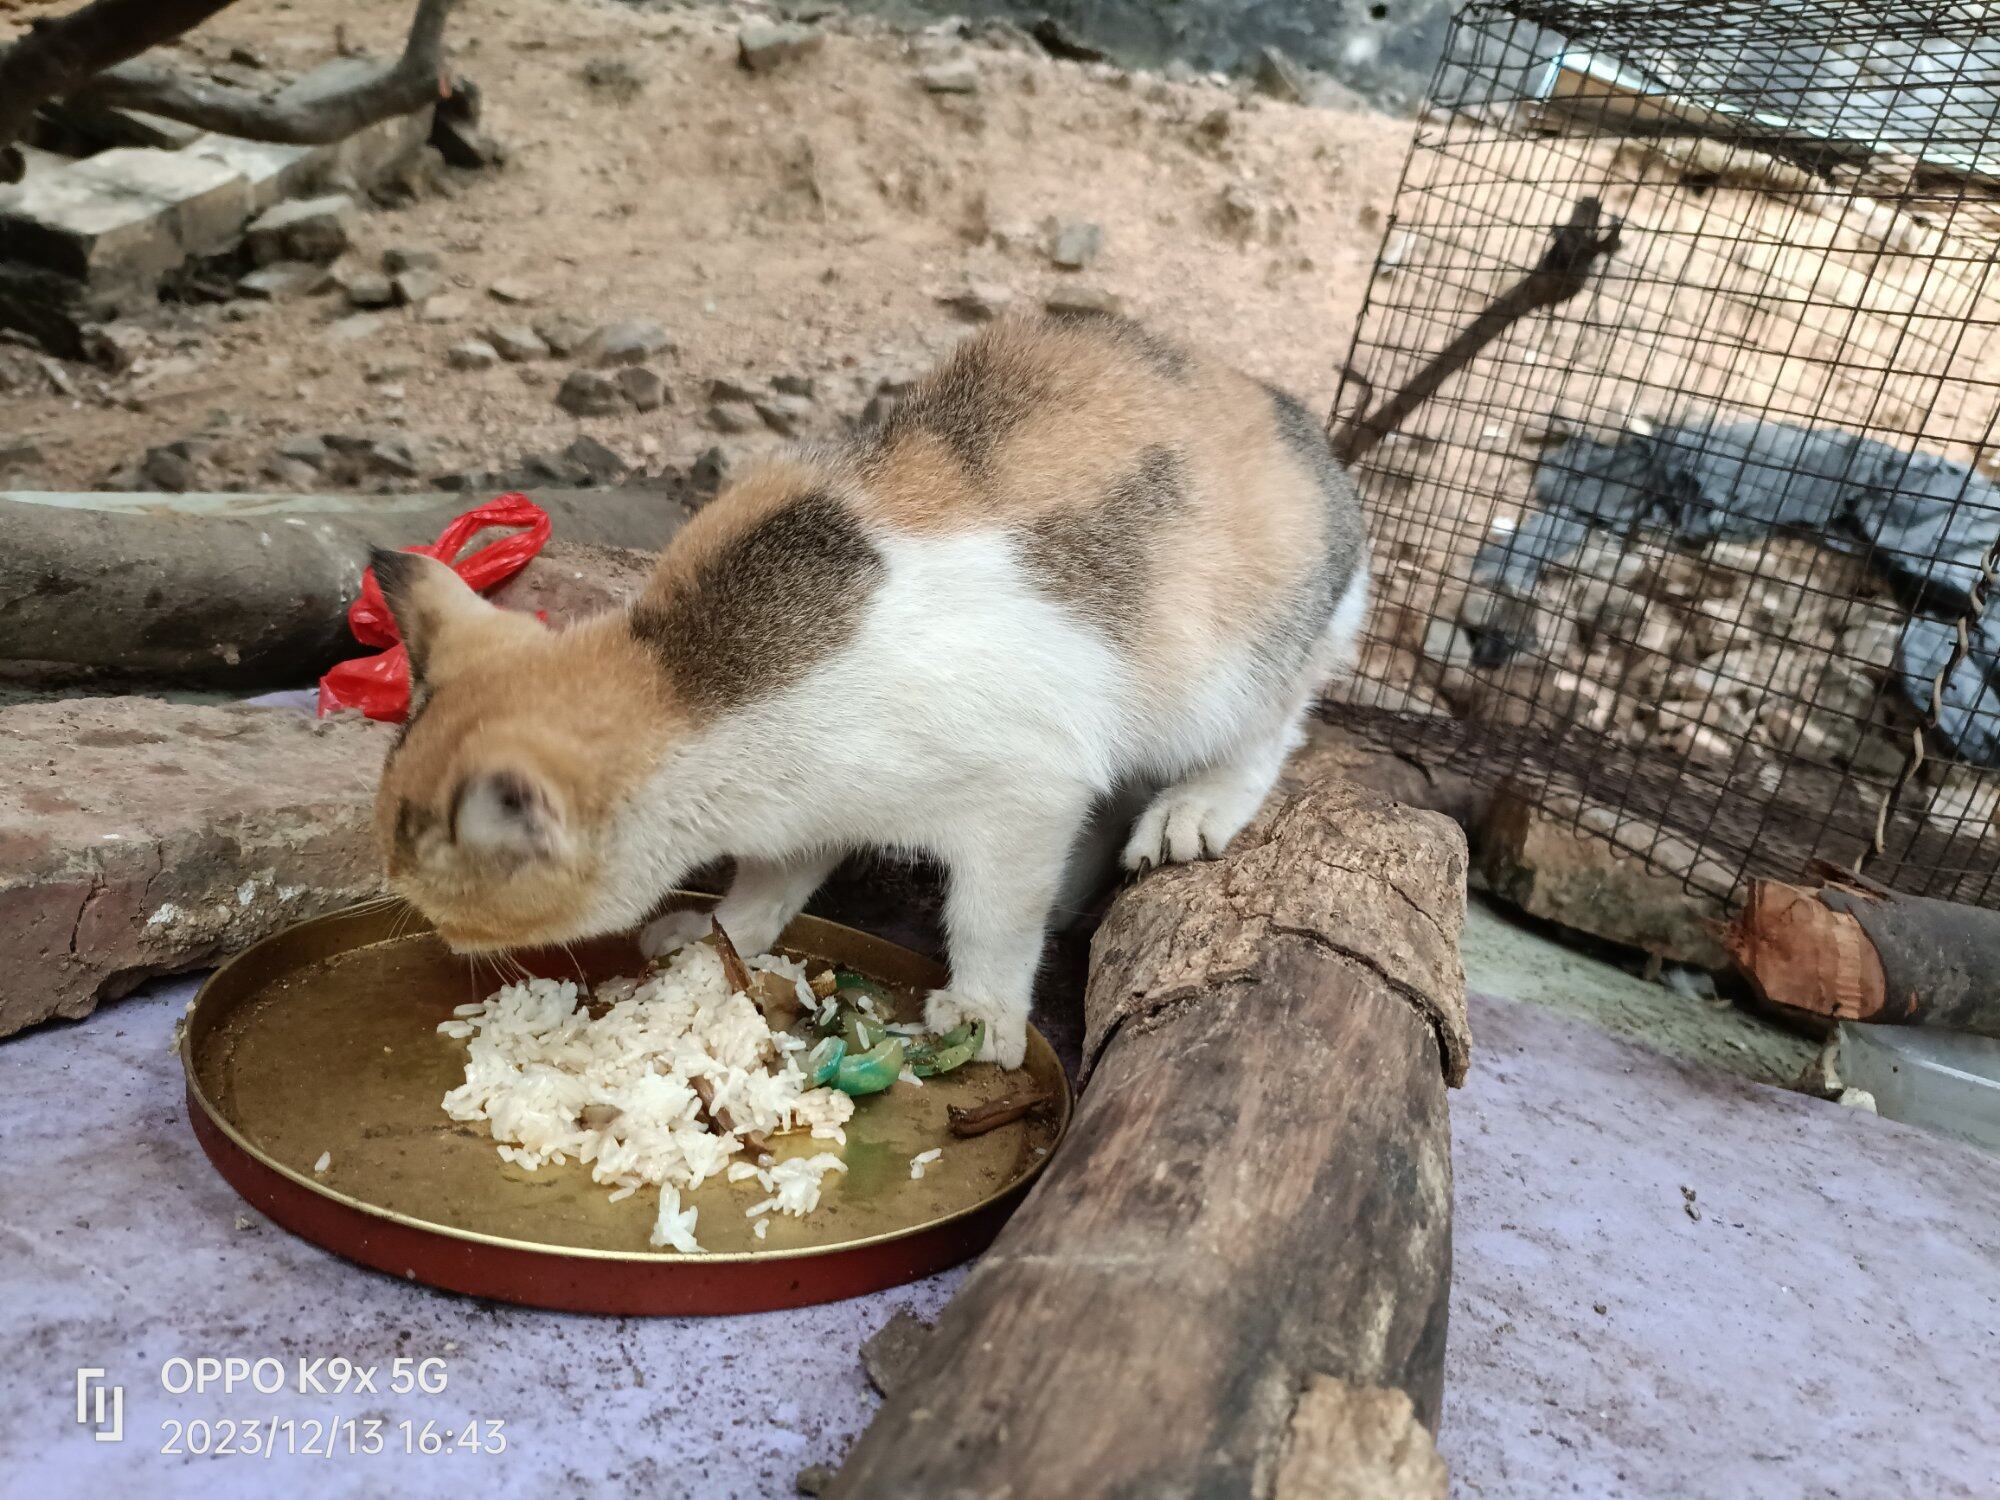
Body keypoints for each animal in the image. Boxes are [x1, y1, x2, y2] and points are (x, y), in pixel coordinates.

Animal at [368, 314, 1368, 1072]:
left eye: (440, 906)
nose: (435, 938)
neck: (694, 677)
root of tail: (1303, 426)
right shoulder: (808, 810)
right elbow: (767, 887)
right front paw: (713, 937)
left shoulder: (1024, 792)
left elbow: (995, 915)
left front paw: (983, 1015)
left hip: (1237, 661)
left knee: (1269, 730)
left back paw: (1194, 810)